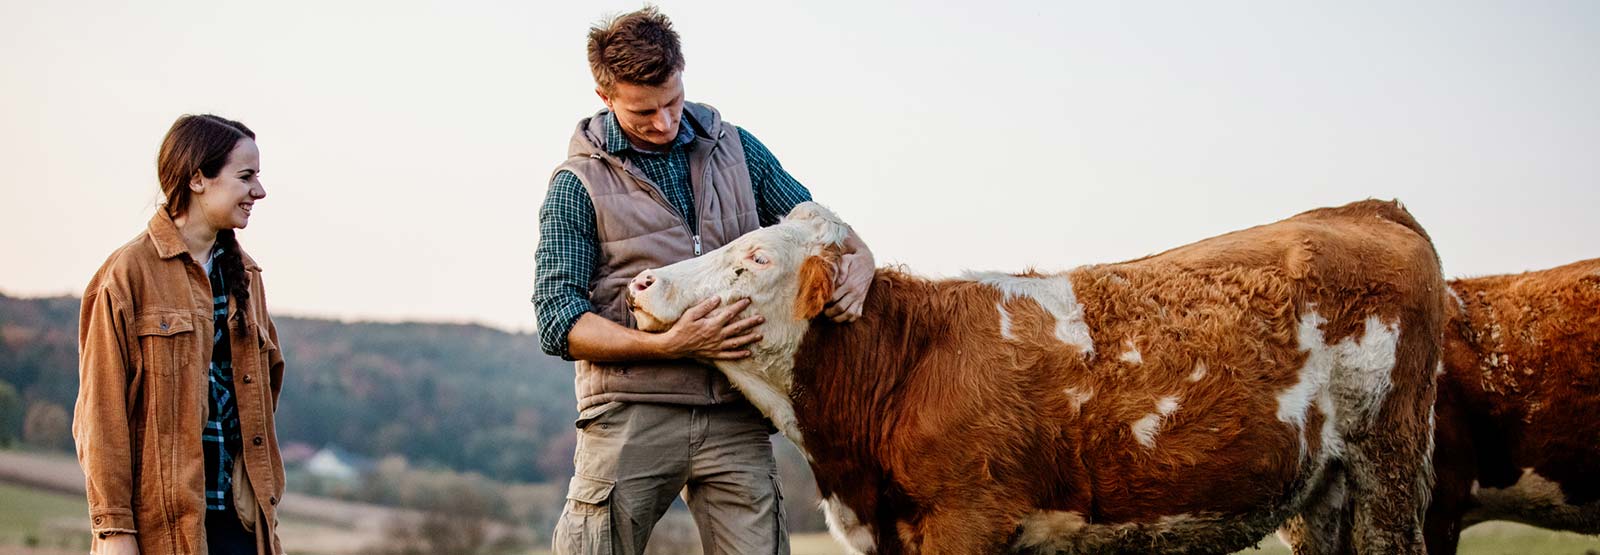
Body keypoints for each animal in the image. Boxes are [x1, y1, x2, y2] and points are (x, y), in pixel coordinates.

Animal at [627, 199, 1452, 555]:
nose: (641, 283)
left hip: (1387, 467)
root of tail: (1368, 208)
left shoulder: (966, 521)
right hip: (1320, 491)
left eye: (756, 257)